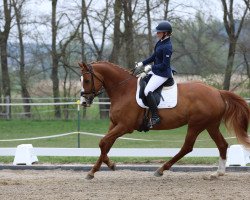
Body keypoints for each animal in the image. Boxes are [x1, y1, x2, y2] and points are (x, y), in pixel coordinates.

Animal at [79, 61, 250, 180]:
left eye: (86, 80)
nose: (84, 101)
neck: (123, 90)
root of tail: (218, 92)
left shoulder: (124, 126)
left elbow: (102, 143)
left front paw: (109, 166)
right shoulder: (114, 125)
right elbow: (105, 145)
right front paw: (94, 171)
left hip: (196, 124)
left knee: (187, 147)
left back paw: (161, 170)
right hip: (211, 125)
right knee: (222, 145)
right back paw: (218, 173)